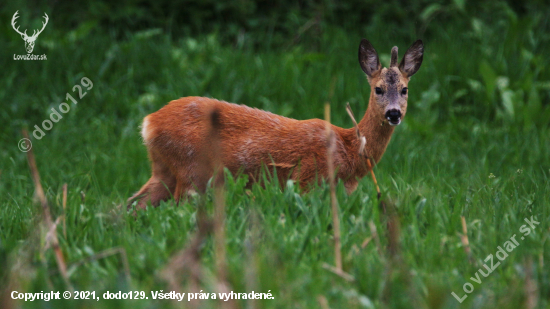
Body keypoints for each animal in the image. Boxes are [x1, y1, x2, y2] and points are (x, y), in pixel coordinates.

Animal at [127, 37, 424, 208]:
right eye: (378, 89)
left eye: (405, 89)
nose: (394, 114)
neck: (350, 150)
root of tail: (149, 123)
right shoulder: (308, 177)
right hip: (191, 169)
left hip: (164, 169)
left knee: (130, 206)